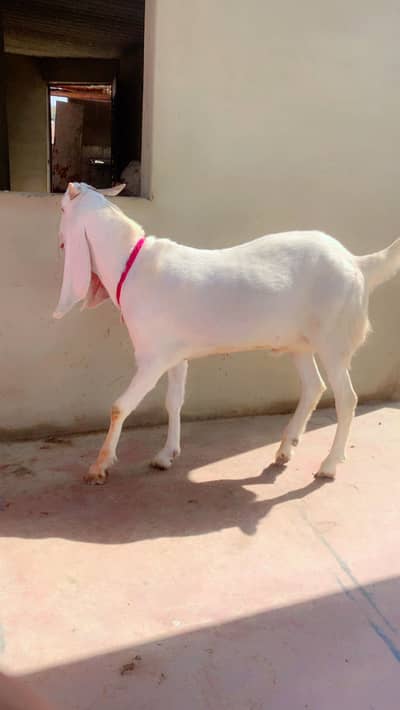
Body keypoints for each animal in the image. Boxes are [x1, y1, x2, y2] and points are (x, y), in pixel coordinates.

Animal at [54, 181, 400, 484]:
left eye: (61, 208)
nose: (58, 241)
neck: (131, 263)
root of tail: (357, 263)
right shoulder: (175, 355)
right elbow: (173, 401)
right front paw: (166, 455)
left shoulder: (153, 357)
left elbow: (120, 406)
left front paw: (99, 467)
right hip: (300, 343)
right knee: (314, 387)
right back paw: (285, 449)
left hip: (333, 339)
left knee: (347, 398)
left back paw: (328, 465)